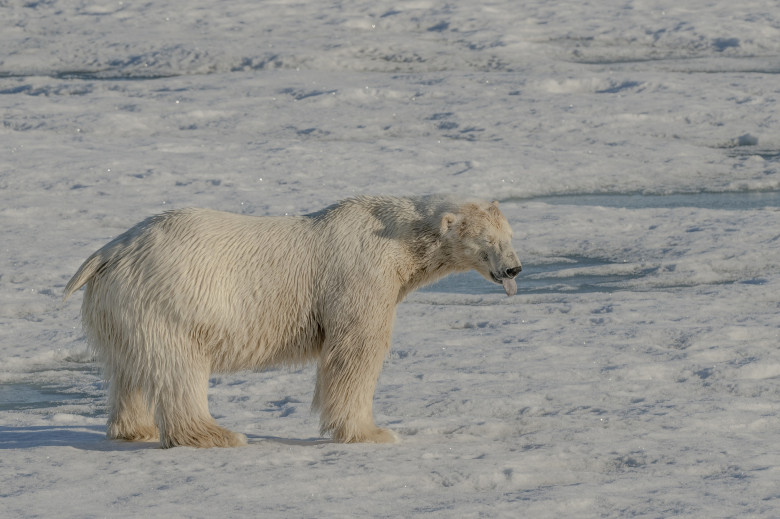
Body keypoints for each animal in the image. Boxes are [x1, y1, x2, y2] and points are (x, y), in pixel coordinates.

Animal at [64, 195, 520, 446]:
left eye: (511, 235)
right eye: (488, 240)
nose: (514, 269)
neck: (397, 237)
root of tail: (110, 252)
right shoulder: (359, 274)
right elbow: (356, 350)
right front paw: (373, 431)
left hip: (122, 306)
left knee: (130, 368)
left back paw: (134, 429)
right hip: (170, 296)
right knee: (179, 367)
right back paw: (217, 435)